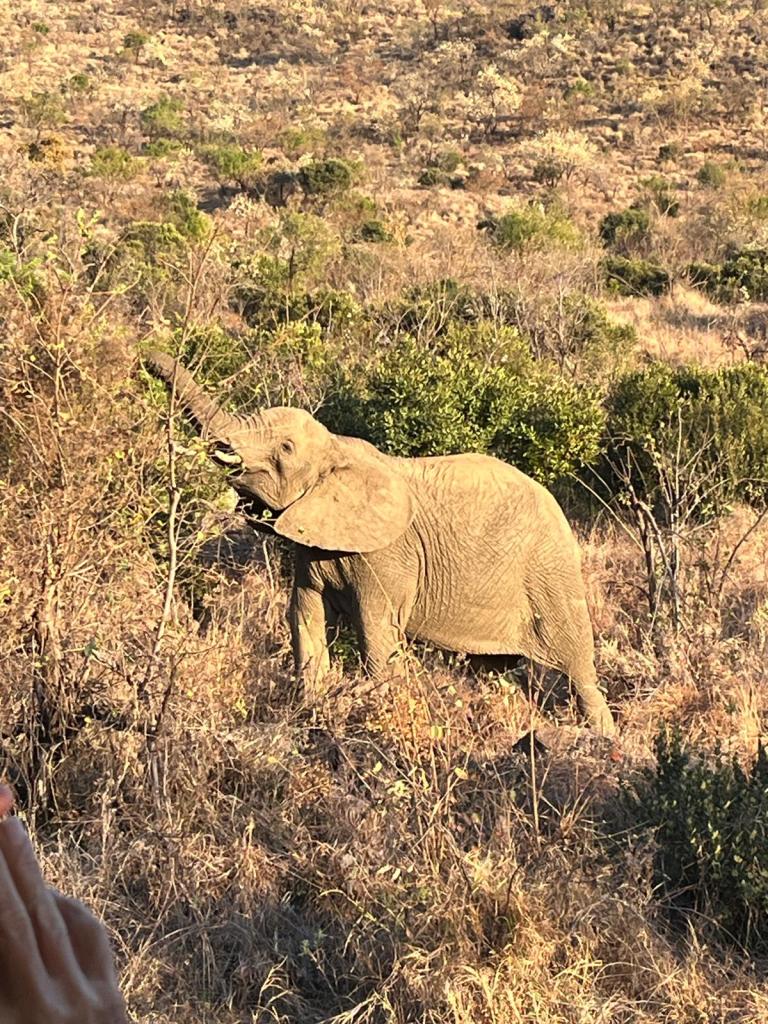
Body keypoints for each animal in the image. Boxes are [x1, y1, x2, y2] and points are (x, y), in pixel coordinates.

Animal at [146, 351, 615, 736]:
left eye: (286, 448)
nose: (147, 358)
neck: (337, 449)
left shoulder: (386, 556)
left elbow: (375, 629)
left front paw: (371, 710)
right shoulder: (312, 547)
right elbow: (303, 615)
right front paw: (310, 706)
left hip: (550, 570)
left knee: (578, 666)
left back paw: (600, 737)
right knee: (491, 669)